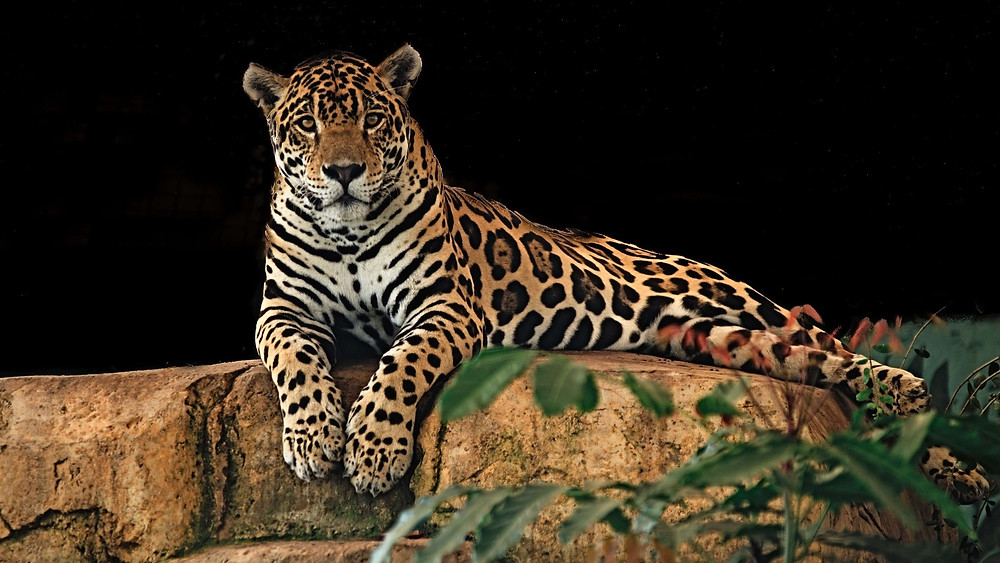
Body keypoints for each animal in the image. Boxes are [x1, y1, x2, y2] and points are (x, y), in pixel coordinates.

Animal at [242, 44, 989, 503]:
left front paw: (372, 452)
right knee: (835, 371)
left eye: (371, 120)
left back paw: (954, 458)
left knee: (850, 355)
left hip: (744, 302)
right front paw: (312, 439)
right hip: (722, 340)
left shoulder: (444, 306)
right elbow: (293, 360)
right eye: (307, 126)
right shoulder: (283, 310)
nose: (344, 171)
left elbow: (401, 364)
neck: (347, 233)